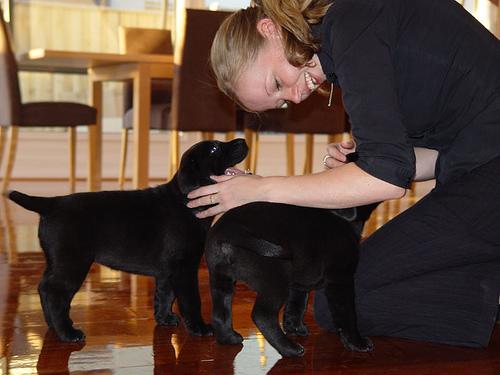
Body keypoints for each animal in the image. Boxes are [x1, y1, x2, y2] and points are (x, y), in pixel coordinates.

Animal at [6, 139, 249, 344]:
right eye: (214, 149)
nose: (243, 140)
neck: (184, 201)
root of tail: (51, 204)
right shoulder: (184, 268)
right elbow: (191, 300)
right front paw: (199, 327)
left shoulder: (168, 270)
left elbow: (165, 294)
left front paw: (164, 318)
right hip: (71, 263)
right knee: (55, 293)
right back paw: (67, 332)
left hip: (57, 261)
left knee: (44, 287)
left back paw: (53, 325)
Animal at [206, 203, 376, 358]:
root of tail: (232, 230)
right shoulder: (340, 279)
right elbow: (347, 314)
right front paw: (356, 343)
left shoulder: (300, 283)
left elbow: (297, 305)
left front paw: (295, 328)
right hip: (275, 282)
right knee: (262, 315)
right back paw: (289, 349)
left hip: (221, 280)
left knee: (220, 314)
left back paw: (228, 338)